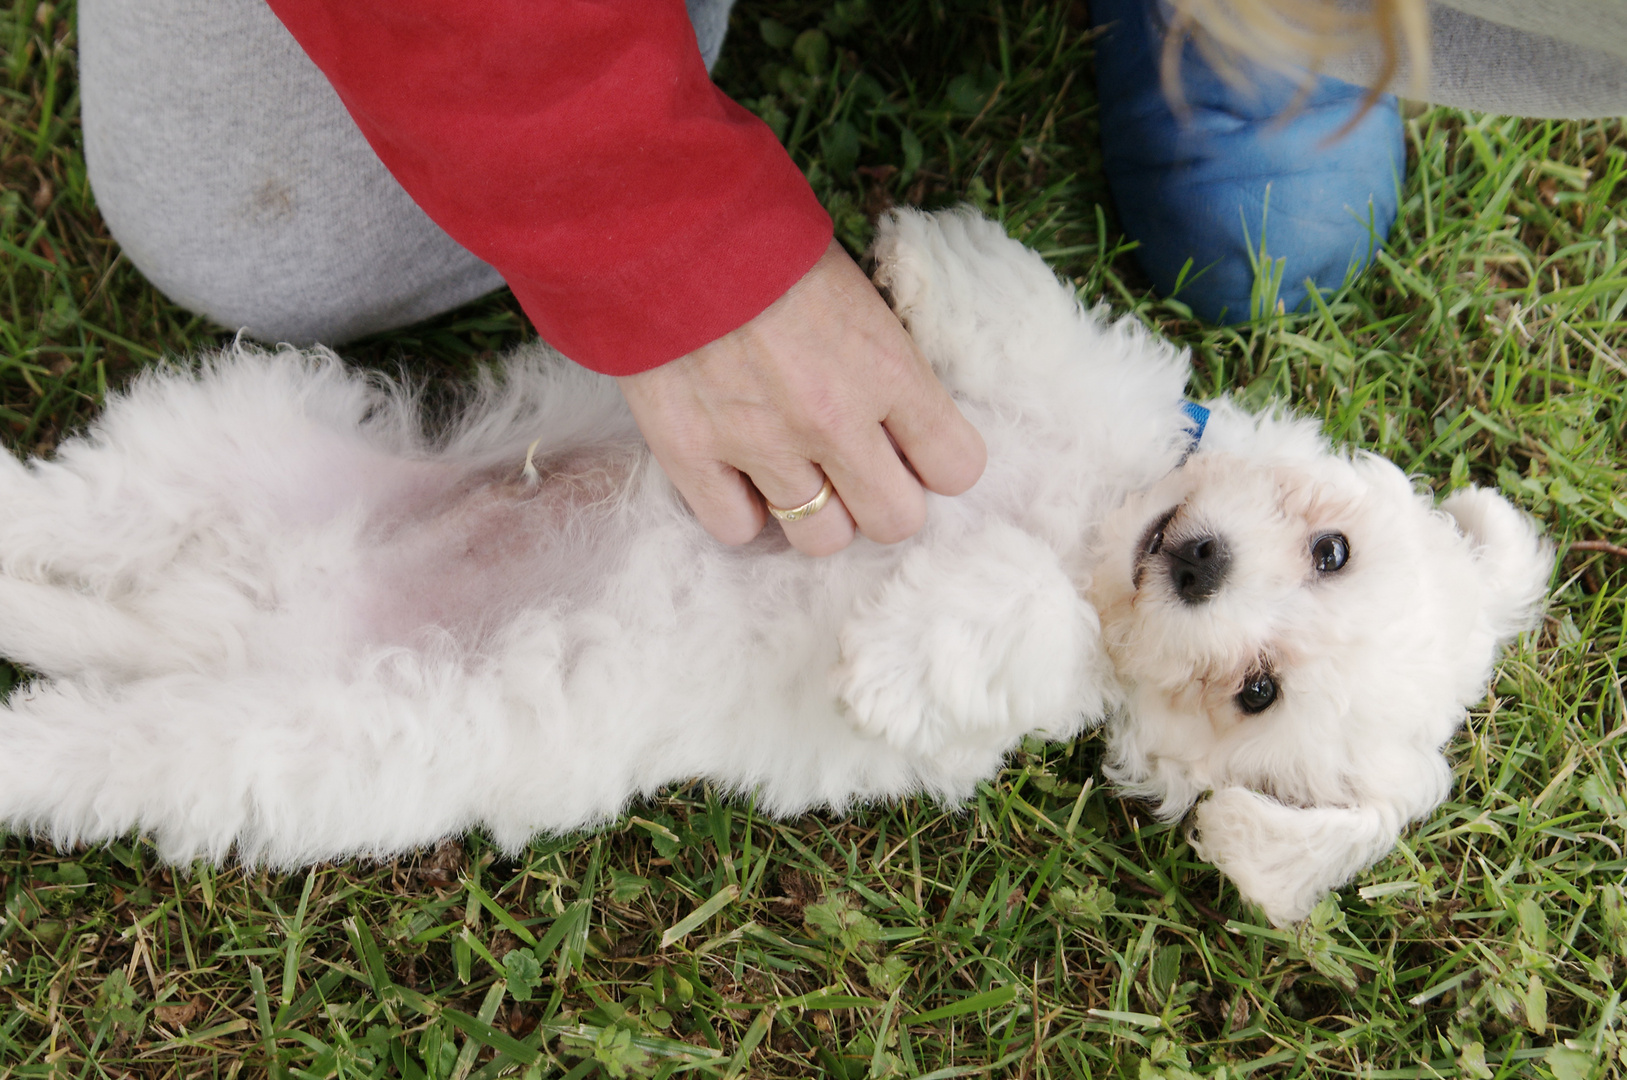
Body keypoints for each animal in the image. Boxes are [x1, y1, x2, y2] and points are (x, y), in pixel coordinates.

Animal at [0, 213, 1548, 930]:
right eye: (1330, 546)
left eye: (1256, 694)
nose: (1198, 561)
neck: (1088, 523)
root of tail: (234, 609)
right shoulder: (1067, 410)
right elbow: (1030, 332)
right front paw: (928, 255)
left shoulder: (1044, 680)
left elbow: (1017, 625)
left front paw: (900, 649)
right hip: (222, 451)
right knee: (56, 520)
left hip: (295, 739)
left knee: (103, 735)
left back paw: (36, 741)